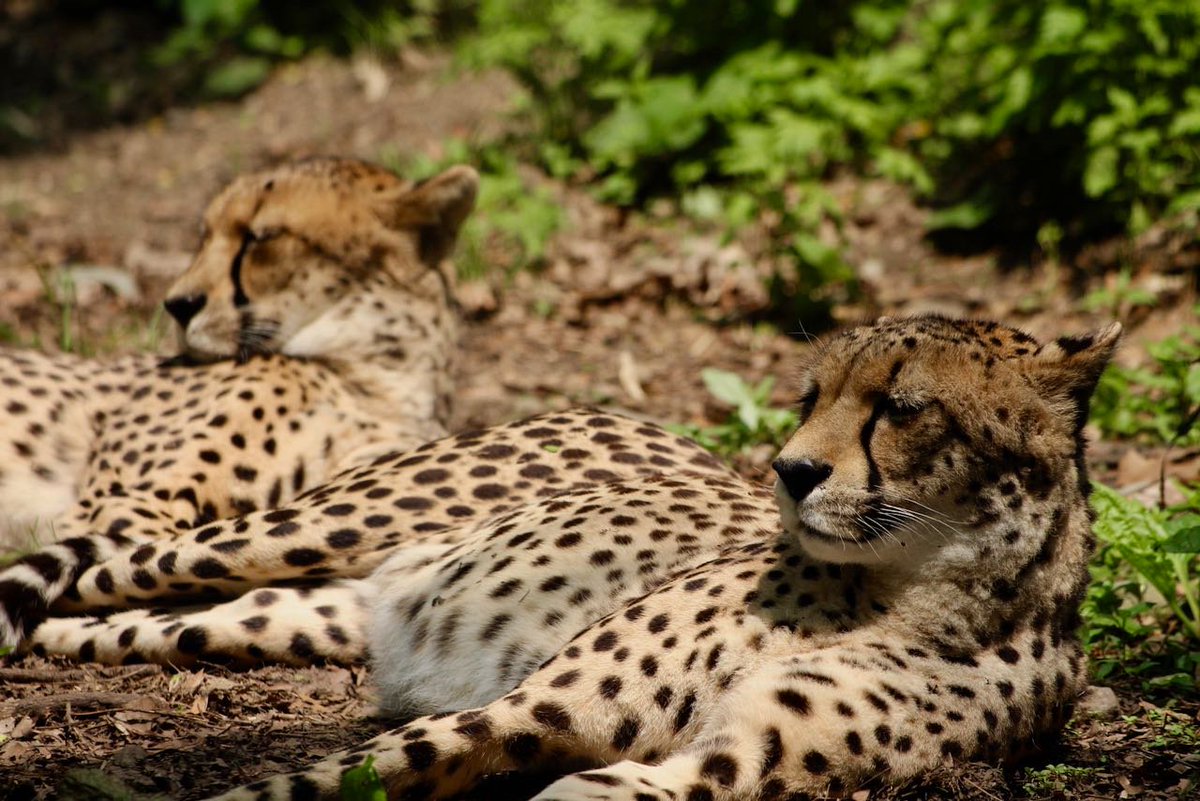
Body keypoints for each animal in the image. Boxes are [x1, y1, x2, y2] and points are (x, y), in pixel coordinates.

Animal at [4, 314, 1120, 801]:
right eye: (813, 395)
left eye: (903, 407)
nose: (790, 470)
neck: (912, 592)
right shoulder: (530, 705)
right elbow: (309, 781)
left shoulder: (721, 762)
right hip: (293, 529)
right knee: (102, 562)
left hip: (283, 613)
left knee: (124, 619)